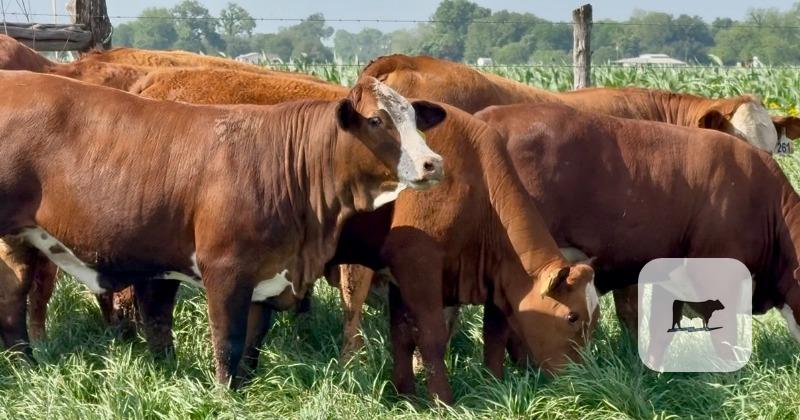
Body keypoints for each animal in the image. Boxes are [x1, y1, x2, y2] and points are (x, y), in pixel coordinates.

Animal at [0, 71, 445, 386]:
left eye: (413, 119)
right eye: (376, 120)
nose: (433, 163)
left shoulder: (267, 276)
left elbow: (250, 348)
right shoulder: (225, 271)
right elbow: (227, 343)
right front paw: (223, 395)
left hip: (21, 240)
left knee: (12, 301)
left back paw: (25, 365)